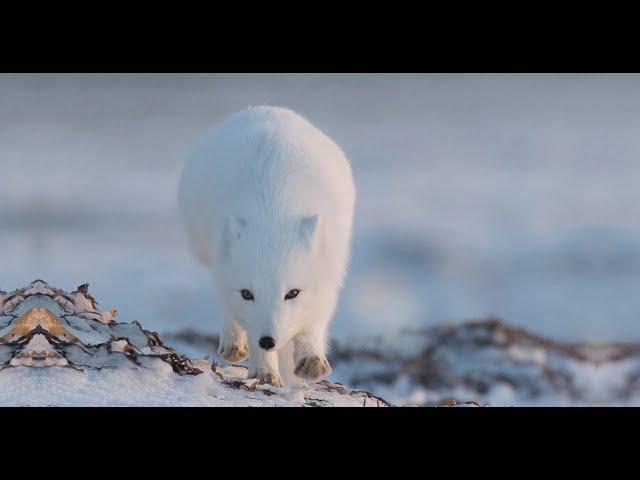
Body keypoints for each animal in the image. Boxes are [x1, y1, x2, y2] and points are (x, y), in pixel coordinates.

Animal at [179, 106, 356, 386]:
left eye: (292, 293)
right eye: (247, 294)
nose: (268, 341)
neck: (272, 210)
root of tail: (266, 108)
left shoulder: (330, 271)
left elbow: (315, 320)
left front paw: (311, 359)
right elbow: (246, 323)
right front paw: (264, 372)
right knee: (226, 306)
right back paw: (233, 344)